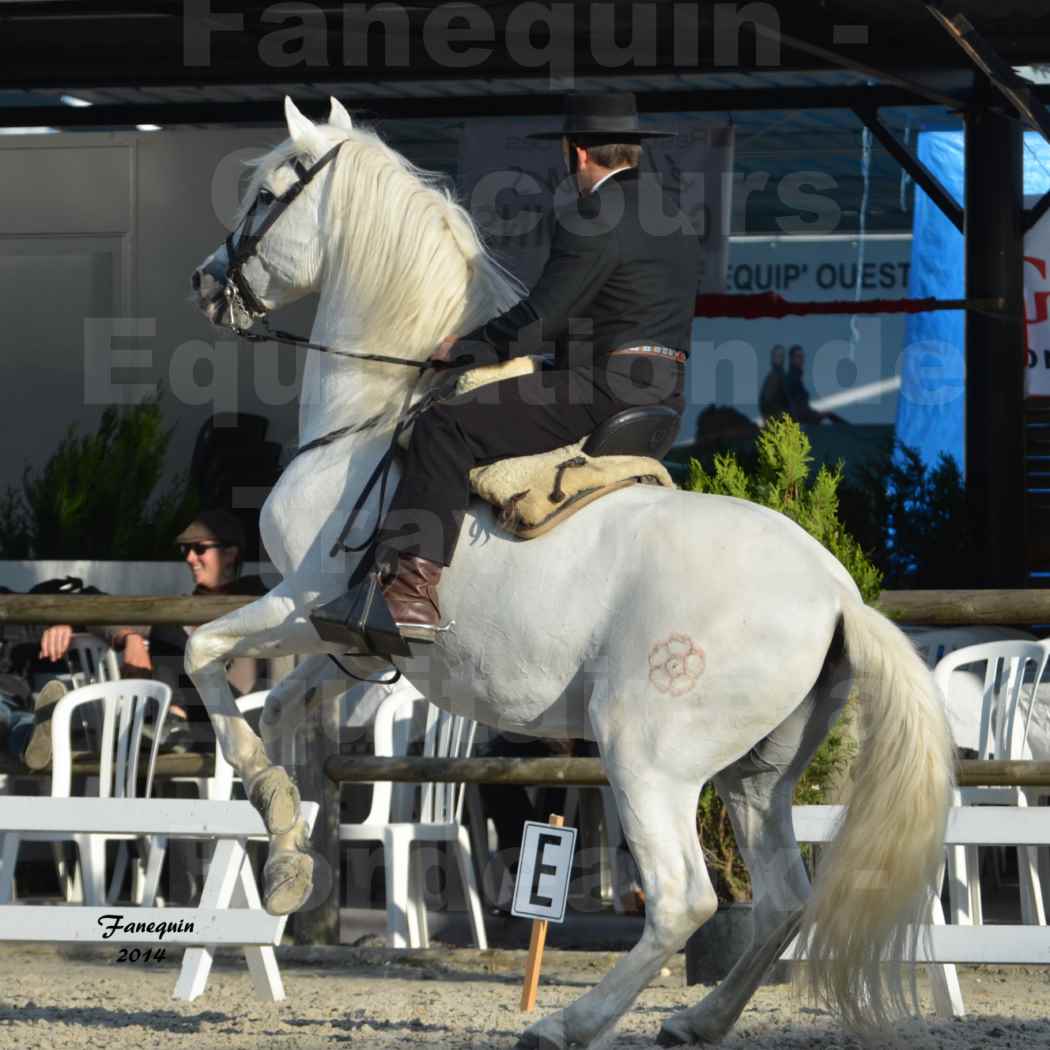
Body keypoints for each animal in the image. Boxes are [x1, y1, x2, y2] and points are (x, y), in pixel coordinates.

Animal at [184, 96, 957, 1041]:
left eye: (265, 193)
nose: (206, 283)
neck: (373, 420)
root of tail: (837, 593)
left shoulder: (301, 601)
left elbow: (206, 659)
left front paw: (281, 841)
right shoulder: (351, 643)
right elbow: (279, 712)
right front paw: (289, 854)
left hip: (648, 758)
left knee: (685, 900)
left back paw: (570, 1022)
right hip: (755, 776)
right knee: (783, 899)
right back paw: (696, 1021)